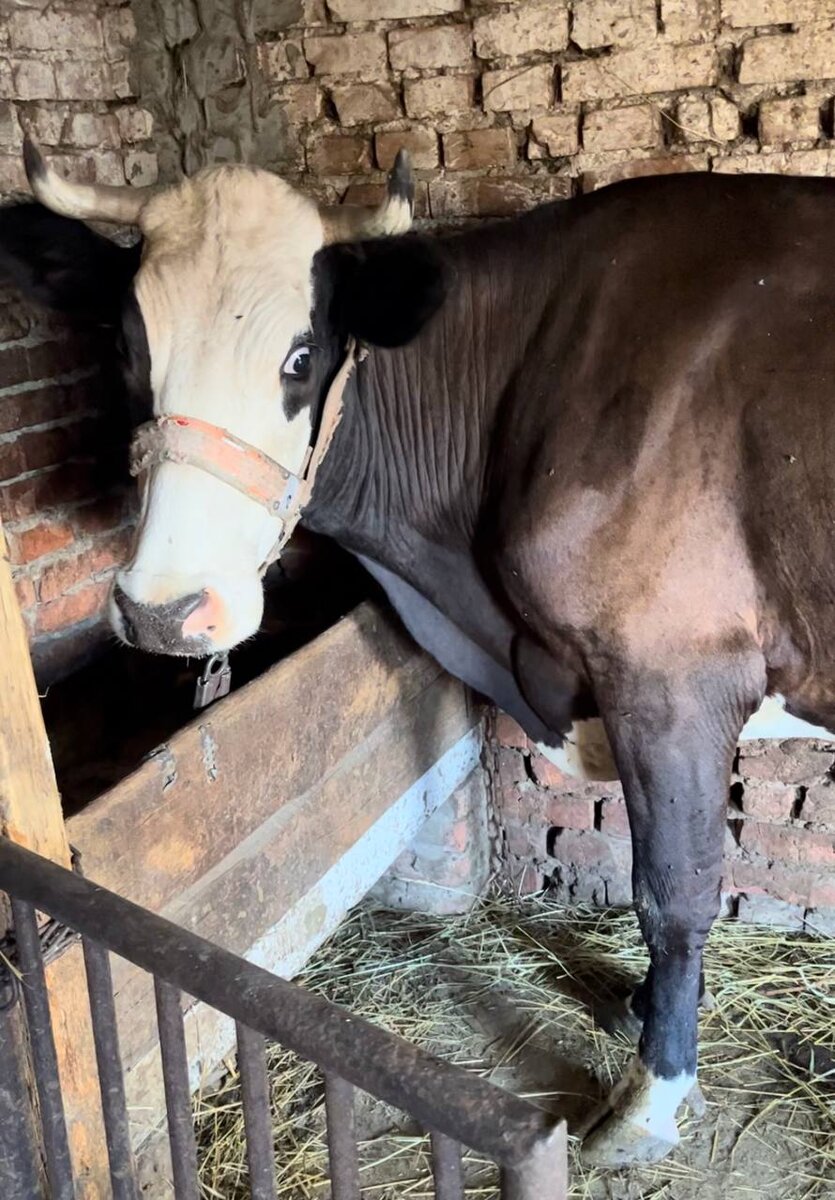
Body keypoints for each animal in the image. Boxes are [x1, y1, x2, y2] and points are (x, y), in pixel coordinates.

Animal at [3, 136, 830, 1166]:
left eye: (301, 356)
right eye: (128, 349)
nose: (165, 610)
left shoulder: (673, 671)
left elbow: (673, 888)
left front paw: (651, 1094)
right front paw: (640, 1010)